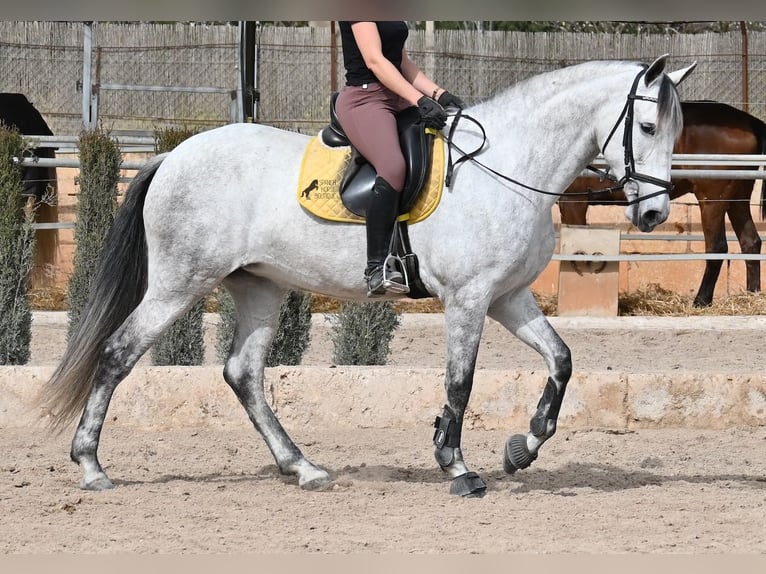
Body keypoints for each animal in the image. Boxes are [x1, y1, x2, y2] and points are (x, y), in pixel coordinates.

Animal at [36, 58, 696, 500]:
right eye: (646, 129)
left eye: (674, 130)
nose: (654, 215)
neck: (508, 167)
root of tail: (174, 154)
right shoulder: (469, 298)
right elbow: (461, 382)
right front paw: (457, 466)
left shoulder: (507, 297)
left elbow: (561, 359)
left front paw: (523, 447)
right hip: (180, 282)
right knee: (118, 353)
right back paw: (91, 466)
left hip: (259, 286)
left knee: (243, 373)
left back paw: (302, 468)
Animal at [560, 100, 766, 306]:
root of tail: (748, 121)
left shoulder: (574, 201)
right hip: (737, 199)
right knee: (750, 242)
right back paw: (752, 294)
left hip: (713, 201)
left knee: (717, 248)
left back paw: (701, 300)